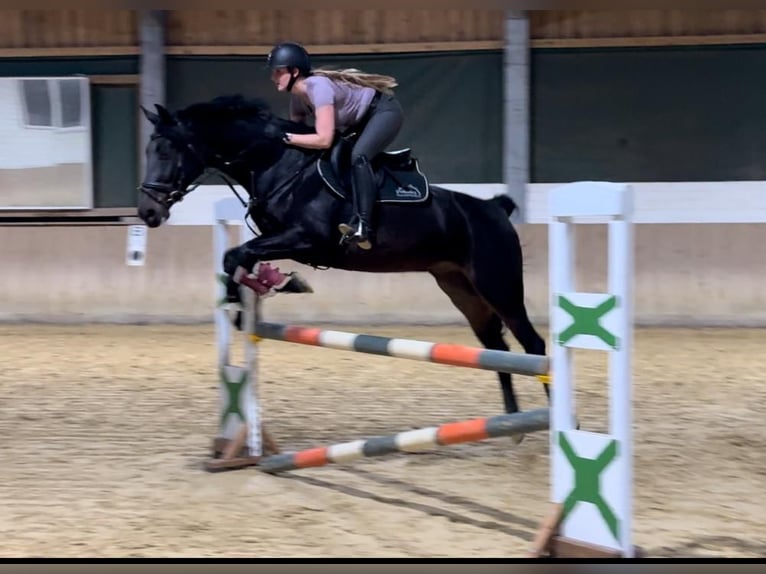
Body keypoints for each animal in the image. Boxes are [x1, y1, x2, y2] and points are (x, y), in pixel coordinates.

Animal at [136, 95, 544, 418]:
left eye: (166, 151)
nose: (147, 212)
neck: (277, 162)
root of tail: (495, 209)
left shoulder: (306, 239)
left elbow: (239, 254)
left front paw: (260, 291)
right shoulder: (280, 237)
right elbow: (239, 257)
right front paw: (268, 287)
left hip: (498, 285)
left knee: (533, 345)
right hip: (460, 288)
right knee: (497, 347)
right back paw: (511, 422)